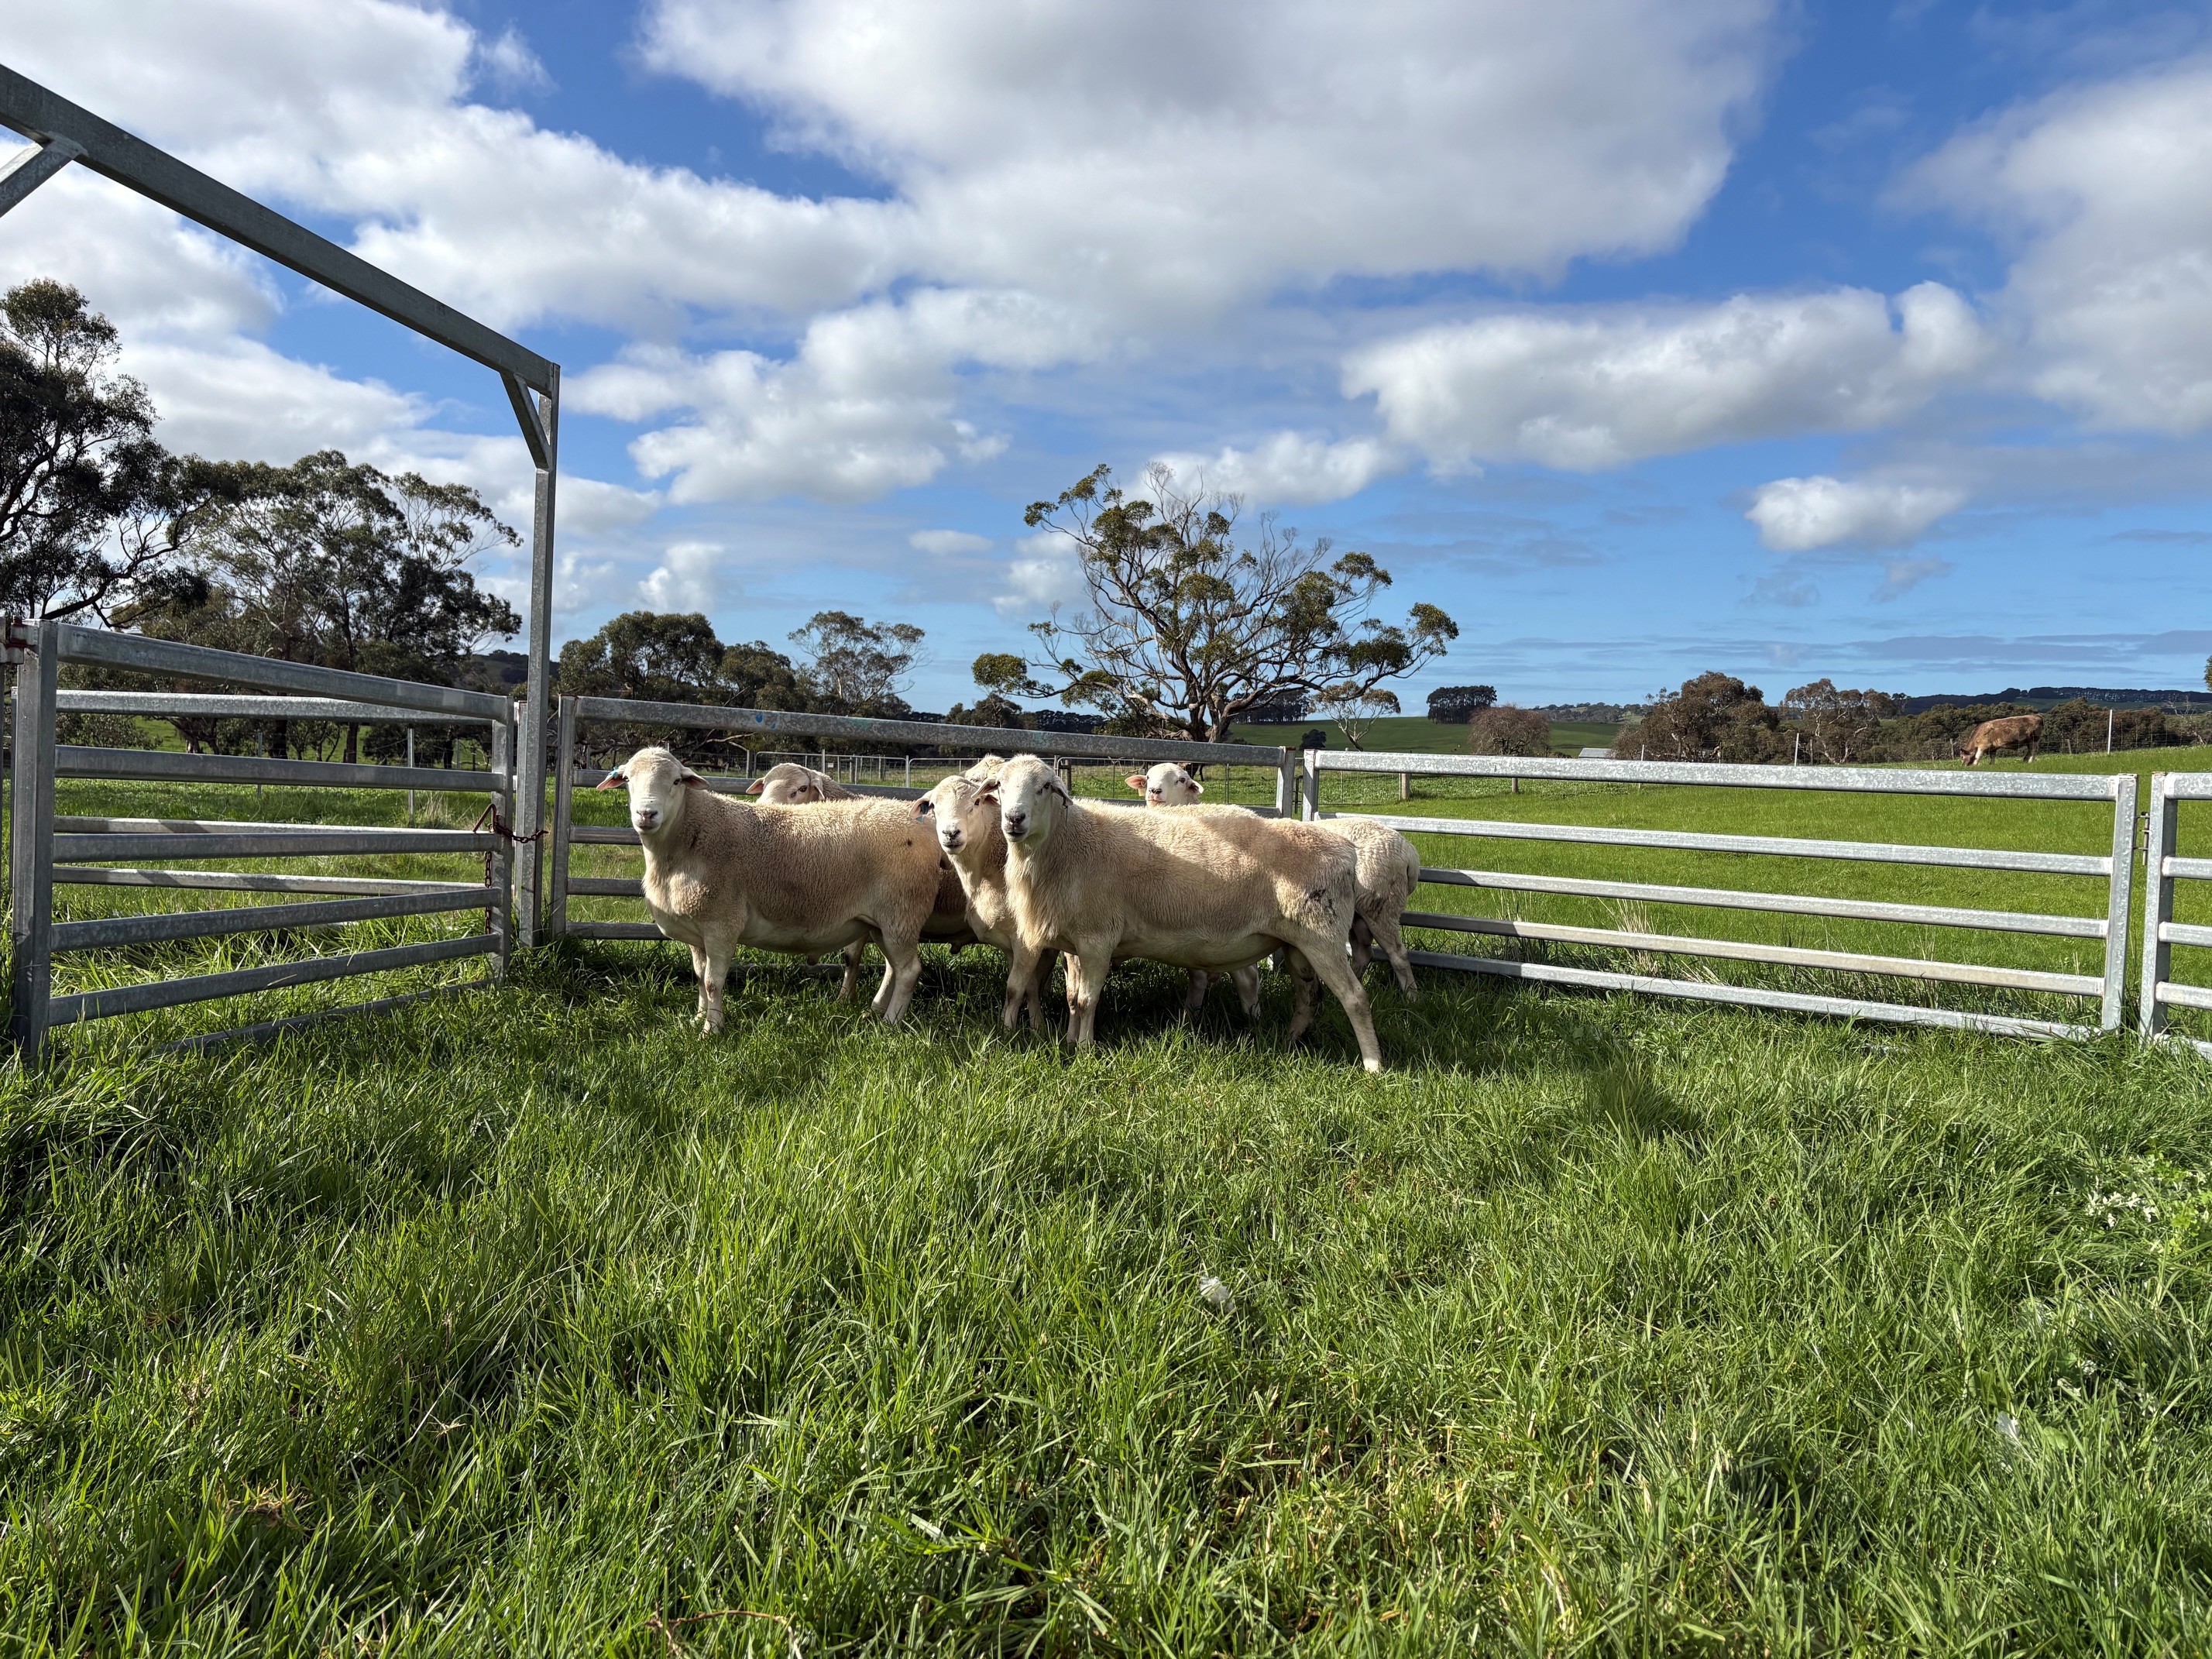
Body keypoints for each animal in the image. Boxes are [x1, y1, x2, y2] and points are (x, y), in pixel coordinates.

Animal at [597, 746, 944, 1030]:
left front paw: (712, 1030)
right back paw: (876, 1011)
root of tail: (922, 823)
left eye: (676, 782)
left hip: (902, 912)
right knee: (894, 969)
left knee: (909, 970)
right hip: (883, 922)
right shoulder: (696, 928)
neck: (689, 837)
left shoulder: (722, 923)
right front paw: (698, 1018)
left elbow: (712, 982)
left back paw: (891, 1022)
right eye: (627, 779)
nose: (646, 814)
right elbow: (698, 976)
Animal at [985, 754, 1383, 1070]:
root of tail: (1347, 850)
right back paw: (1291, 1041)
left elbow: (1087, 1000)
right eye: (1000, 786)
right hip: (1297, 943)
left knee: (1355, 998)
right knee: (1308, 996)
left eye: (1044, 787)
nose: (1014, 819)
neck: (1067, 843)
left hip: (1323, 935)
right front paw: (1069, 1041)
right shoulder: (1073, 941)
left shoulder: (1099, 938)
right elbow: (1071, 998)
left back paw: (1373, 1065)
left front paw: (1085, 1049)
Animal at [1130, 761, 1421, 1000]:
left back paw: (1411, 997)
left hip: (1381, 906)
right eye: (1148, 776)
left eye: (1181, 779)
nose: (1154, 791)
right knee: (1363, 952)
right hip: (1357, 912)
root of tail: (1408, 850)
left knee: (1398, 955)